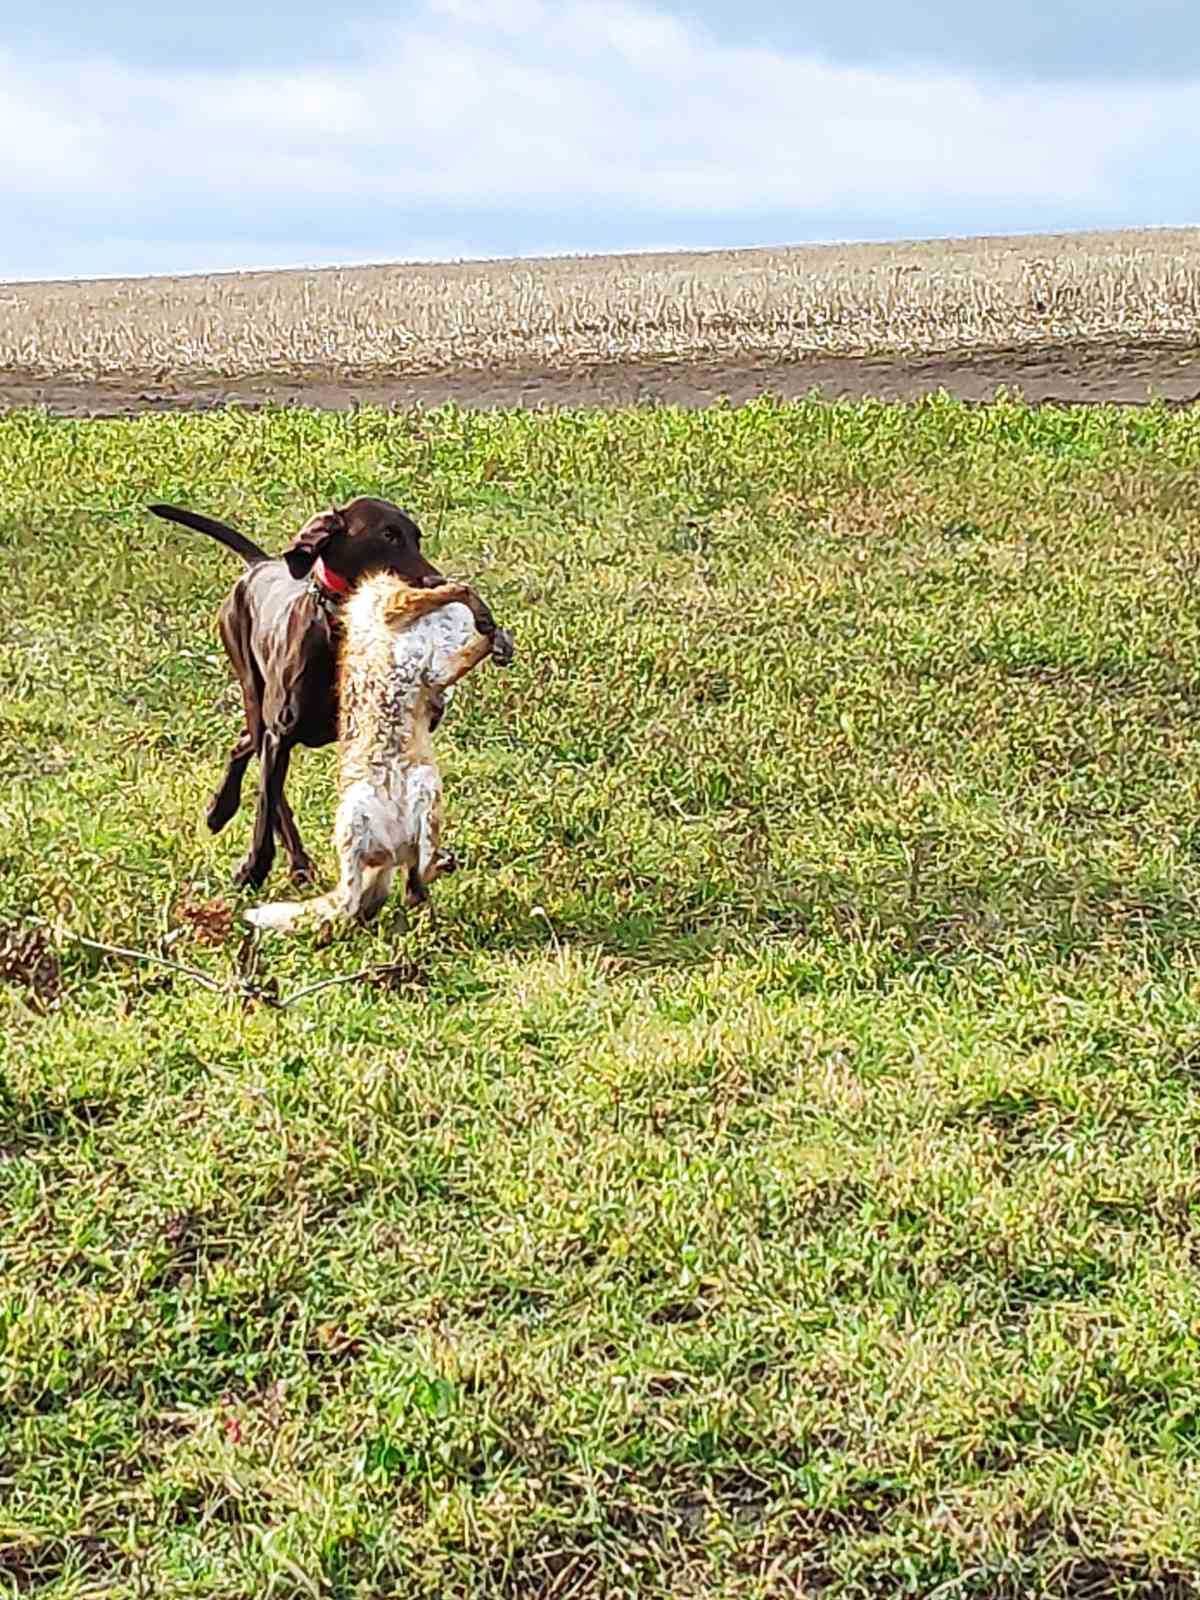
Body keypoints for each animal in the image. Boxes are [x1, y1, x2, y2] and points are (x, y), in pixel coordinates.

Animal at [145, 496, 489, 889]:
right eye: (388, 535)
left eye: (416, 537)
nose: (438, 582)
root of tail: (259, 565)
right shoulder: (280, 735)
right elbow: (267, 806)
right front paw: (254, 868)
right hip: (254, 693)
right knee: (267, 781)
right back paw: (281, 852)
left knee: (243, 745)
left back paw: (223, 811)